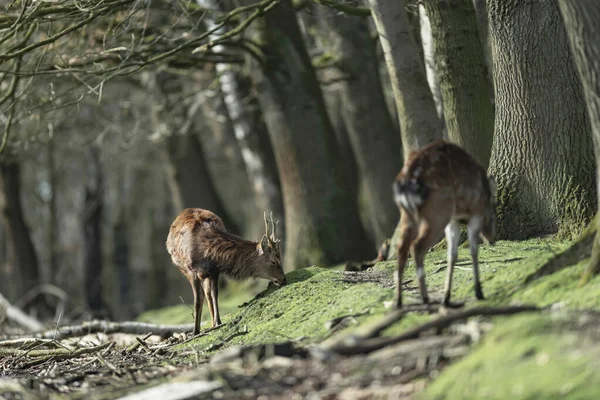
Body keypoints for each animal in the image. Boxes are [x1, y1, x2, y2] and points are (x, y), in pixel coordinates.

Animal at [164, 206, 286, 334]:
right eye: (273, 261)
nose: (283, 279)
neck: (205, 249)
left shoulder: (215, 270)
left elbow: (214, 294)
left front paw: (218, 322)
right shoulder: (191, 271)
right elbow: (197, 300)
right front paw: (195, 331)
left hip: (207, 274)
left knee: (207, 292)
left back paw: (213, 323)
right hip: (183, 268)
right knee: (202, 294)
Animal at [390, 141, 496, 310]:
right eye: (495, 207)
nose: (492, 239)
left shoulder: (453, 220)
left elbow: (452, 254)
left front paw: (447, 298)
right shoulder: (475, 214)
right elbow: (473, 250)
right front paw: (479, 292)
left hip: (407, 214)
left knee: (401, 249)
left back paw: (398, 301)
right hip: (438, 211)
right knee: (417, 246)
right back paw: (425, 299)